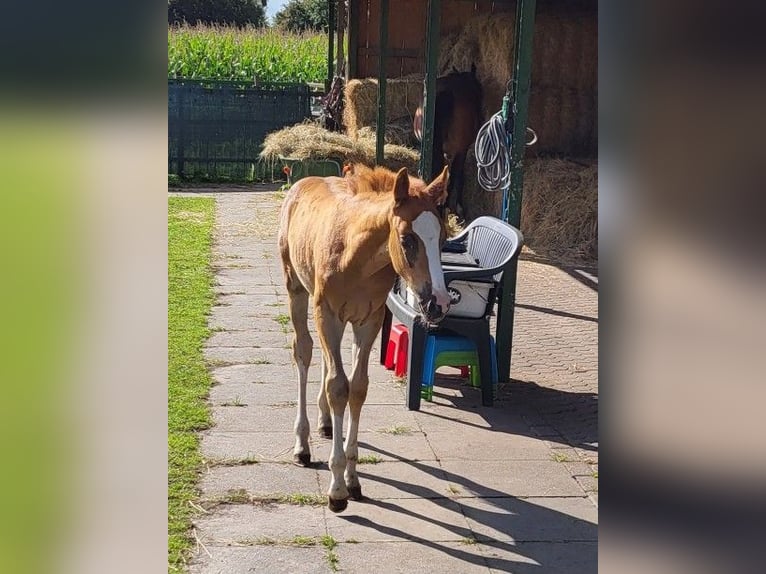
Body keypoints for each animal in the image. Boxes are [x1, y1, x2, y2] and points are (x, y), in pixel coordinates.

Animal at [280, 164, 452, 516]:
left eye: (442, 238)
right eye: (407, 239)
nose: (438, 304)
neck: (356, 257)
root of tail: (302, 182)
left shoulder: (369, 320)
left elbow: (357, 388)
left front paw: (353, 478)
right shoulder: (327, 312)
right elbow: (338, 387)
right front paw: (336, 490)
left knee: (327, 362)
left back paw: (325, 422)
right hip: (296, 288)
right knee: (304, 352)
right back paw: (302, 445)